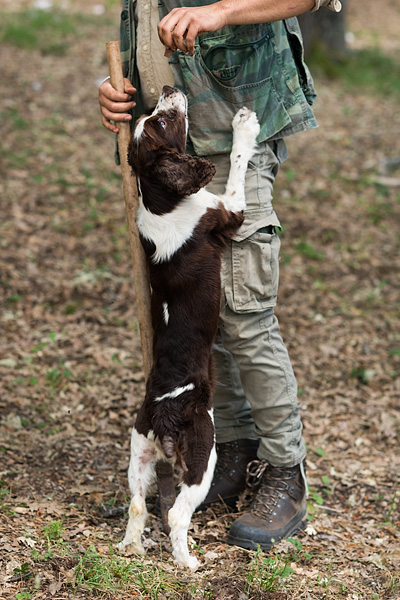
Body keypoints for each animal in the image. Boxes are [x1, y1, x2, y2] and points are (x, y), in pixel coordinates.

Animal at [117, 85, 260, 568]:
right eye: (163, 123)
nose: (166, 89)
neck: (160, 199)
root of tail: (162, 411)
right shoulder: (229, 209)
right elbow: (237, 163)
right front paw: (244, 124)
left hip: (138, 451)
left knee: (138, 505)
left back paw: (130, 547)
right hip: (203, 453)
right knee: (177, 513)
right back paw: (188, 562)